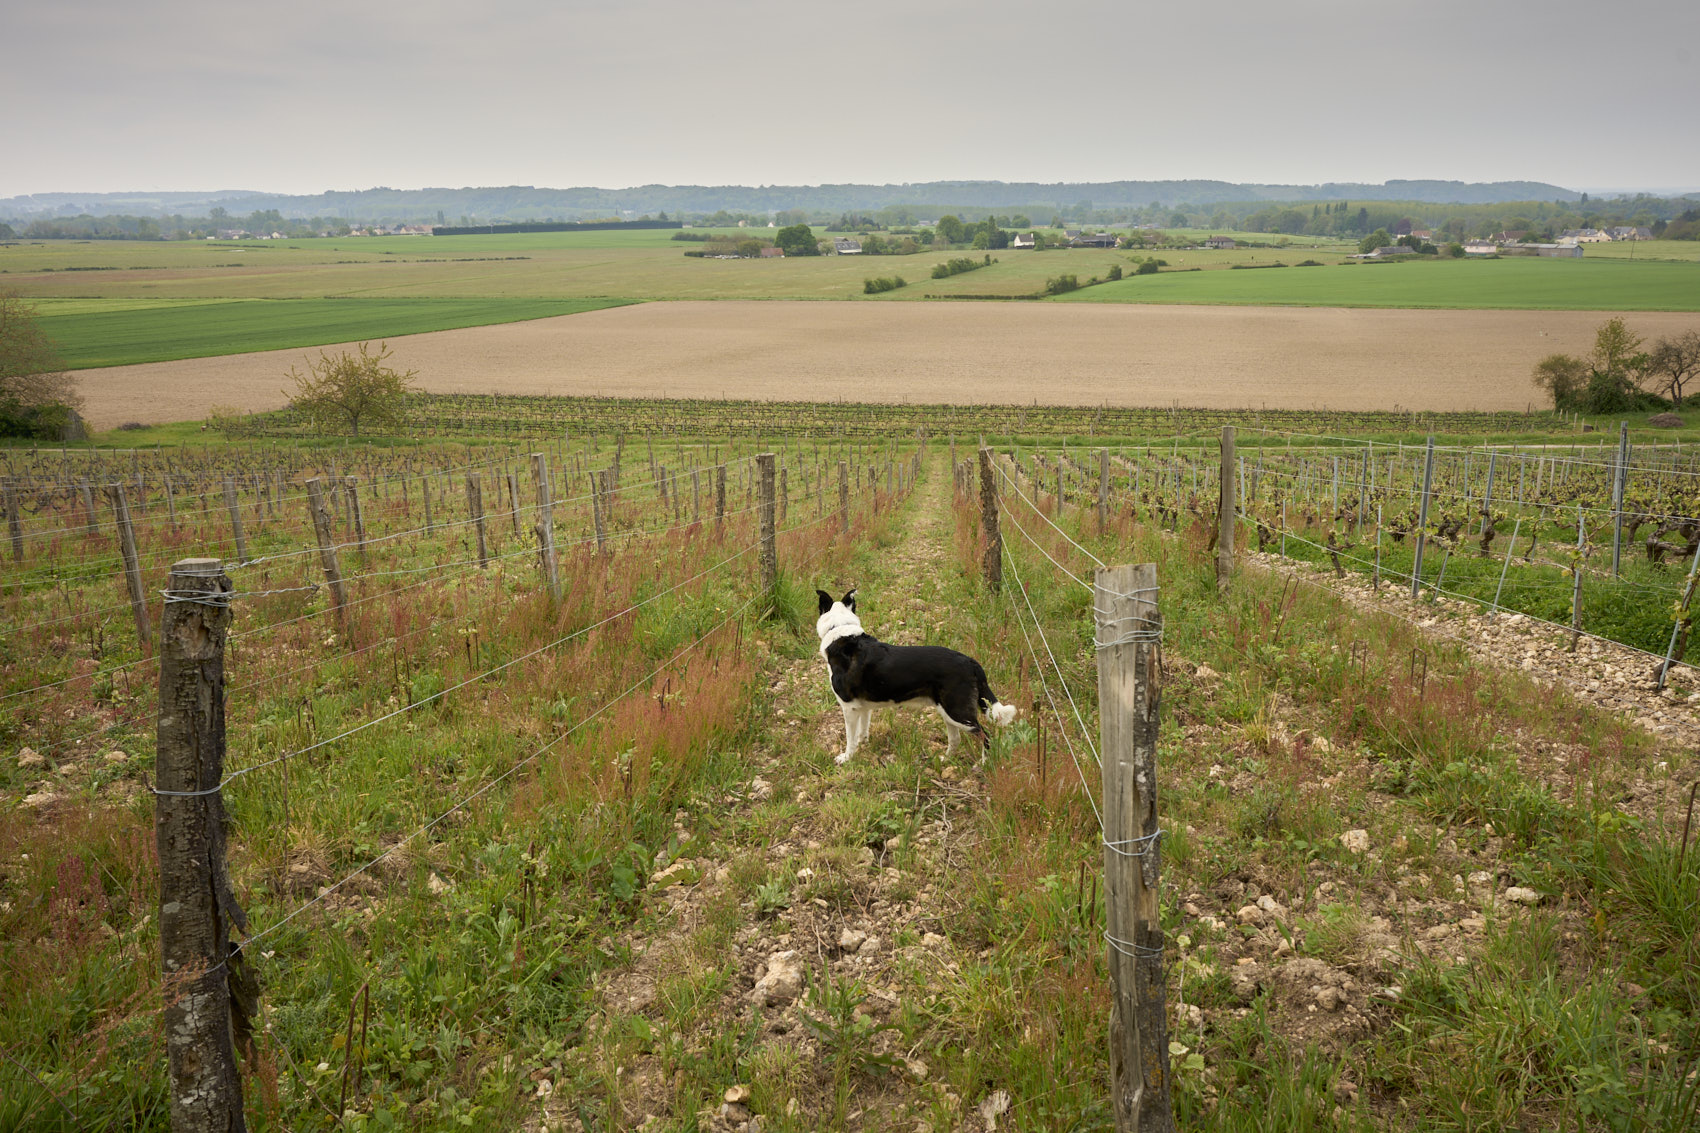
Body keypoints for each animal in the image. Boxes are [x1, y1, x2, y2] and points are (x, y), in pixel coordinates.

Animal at [816, 585, 1013, 762]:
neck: (839, 629)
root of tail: (971, 662)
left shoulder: (848, 707)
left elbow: (850, 739)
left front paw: (846, 758)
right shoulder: (863, 707)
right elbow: (862, 732)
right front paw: (863, 745)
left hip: (958, 711)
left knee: (986, 736)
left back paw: (983, 763)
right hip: (947, 711)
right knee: (956, 739)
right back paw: (945, 759)